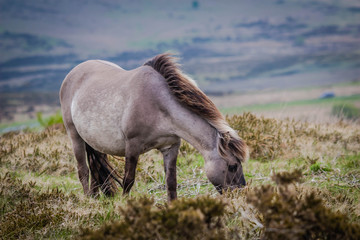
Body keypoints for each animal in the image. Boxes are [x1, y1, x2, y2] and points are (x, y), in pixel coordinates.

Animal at [60, 53, 249, 202]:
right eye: (233, 166)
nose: (240, 194)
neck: (159, 105)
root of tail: (72, 73)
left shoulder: (171, 147)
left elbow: (171, 182)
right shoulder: (132, 146)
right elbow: (128, 180)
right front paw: (124, 205)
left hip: (94, 140)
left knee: (95, 168)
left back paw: (95, 198)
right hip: (75, 136)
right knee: (83, 170)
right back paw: (88, 200)